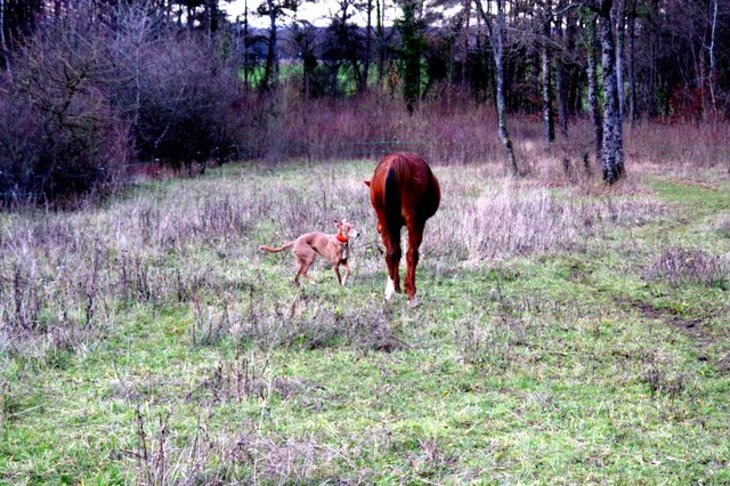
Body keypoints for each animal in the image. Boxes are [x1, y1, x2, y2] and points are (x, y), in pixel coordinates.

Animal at [362, 154, 438, 302]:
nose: (378, 228)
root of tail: (398, 161)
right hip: (414, 221)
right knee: (411, 253)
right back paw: (410, 290)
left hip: (387, 221)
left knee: (392, 252)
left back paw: (393, 289)